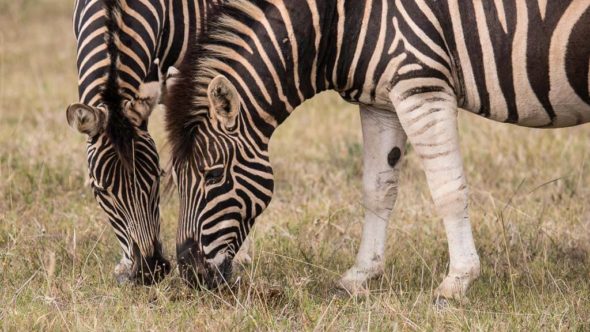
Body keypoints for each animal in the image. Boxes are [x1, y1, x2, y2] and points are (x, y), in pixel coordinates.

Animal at [165, 0, 590, 300]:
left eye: (214, 175)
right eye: (175, 179)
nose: (189, 274)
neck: (338, 22)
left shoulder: (421, 86)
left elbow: (448, 191)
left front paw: (456, 283)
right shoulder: (381, 103)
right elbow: (377, 189)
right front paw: (359, 276)